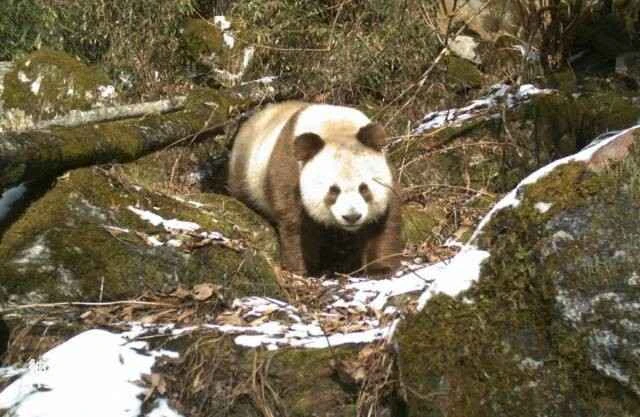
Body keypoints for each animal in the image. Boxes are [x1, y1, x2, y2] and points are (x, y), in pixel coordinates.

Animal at [228, 101, 402, 277]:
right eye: (334, 190)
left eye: (364, 188)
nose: (352, 217)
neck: (336, 127)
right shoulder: (291, 173)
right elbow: (296, 224)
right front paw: (301, 269)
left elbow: (383, 223)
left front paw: (381, 268)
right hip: (246, 176)